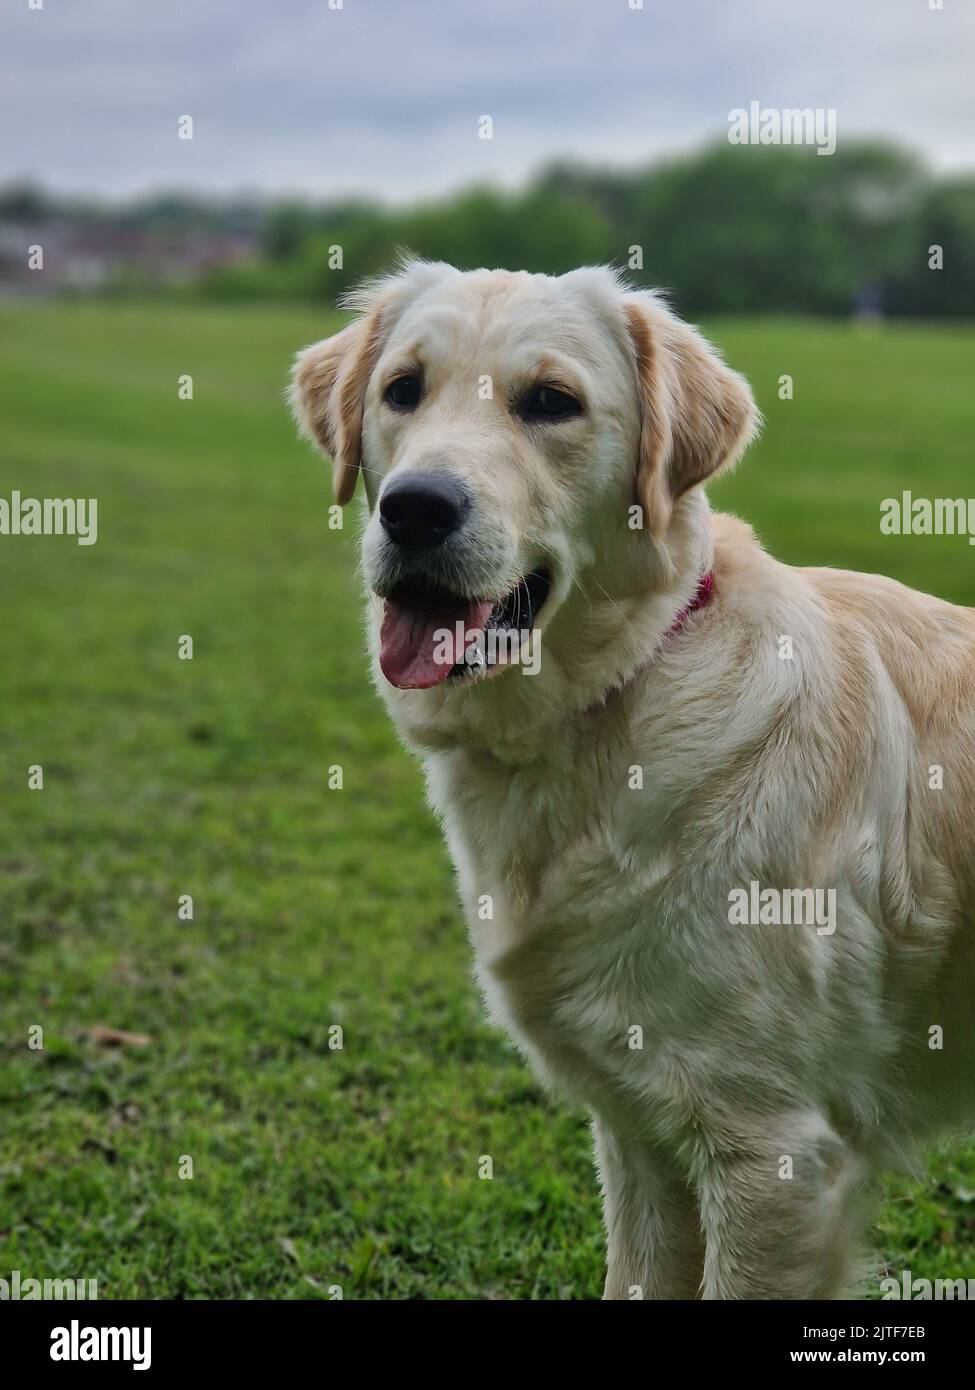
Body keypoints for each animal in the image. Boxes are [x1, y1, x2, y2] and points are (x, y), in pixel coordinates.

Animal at [289, 262, 973, 1301]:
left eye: (550, 402)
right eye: (402, 389)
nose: (414, 508)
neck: (625, 687)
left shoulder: (769, 1154)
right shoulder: (640, 1128)